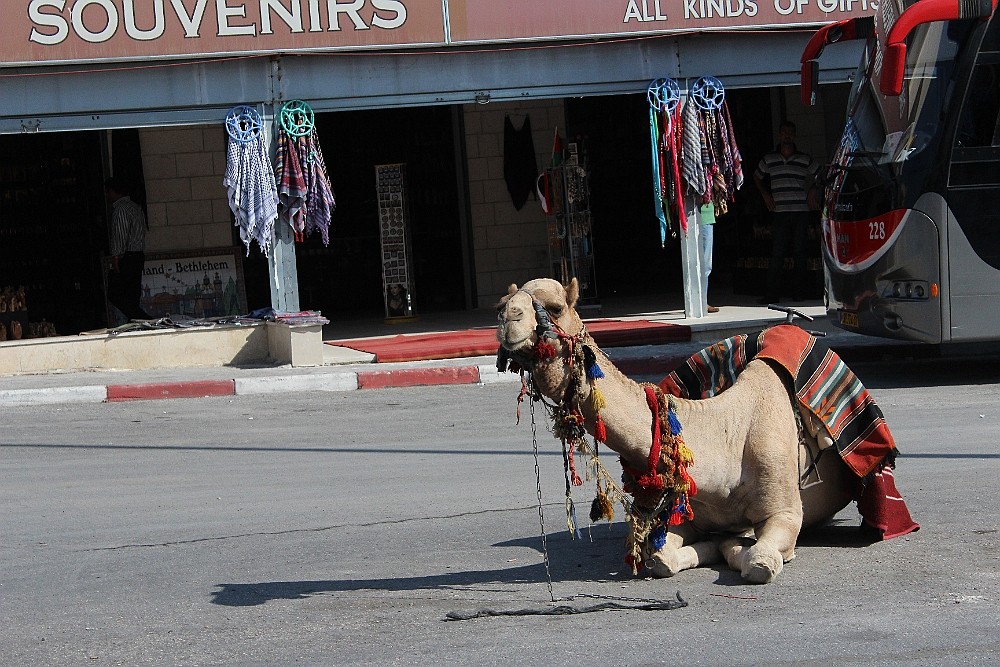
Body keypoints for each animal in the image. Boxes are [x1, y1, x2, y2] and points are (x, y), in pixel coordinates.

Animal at [496, 276, 888, 584]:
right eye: (503, 303)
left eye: (554, 307)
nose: (506, 318)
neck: (725, 439)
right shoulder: (686, 513)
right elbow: (658, 557)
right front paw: (715, 544)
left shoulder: (786, 513)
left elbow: (760, 562)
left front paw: (737, 545)